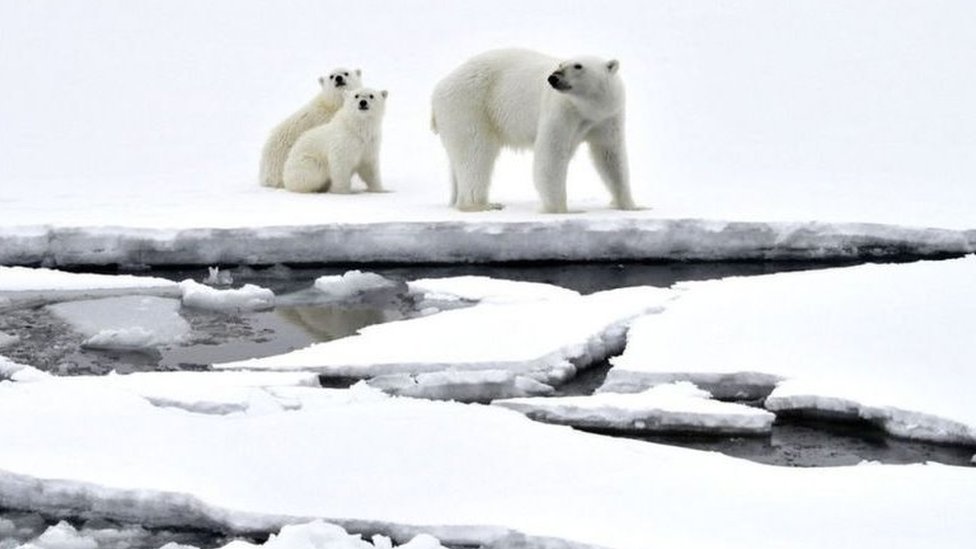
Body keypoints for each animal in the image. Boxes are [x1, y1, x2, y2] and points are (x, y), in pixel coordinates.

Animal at [430, 48, 636, 212]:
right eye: (561, 64)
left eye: (578, 66)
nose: (553, 78)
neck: (588, 109)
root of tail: (439, 87)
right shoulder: (561, 111)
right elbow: (551, 155)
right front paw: (561, 209)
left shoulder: (608, 117)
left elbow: (609, 156)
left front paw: (629, 205)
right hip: (470, 106)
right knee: (476, 152)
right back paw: (481, 205)